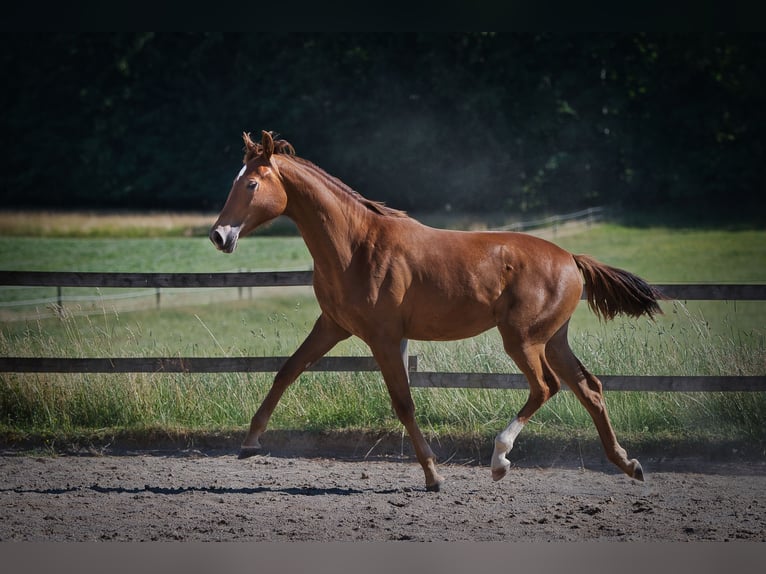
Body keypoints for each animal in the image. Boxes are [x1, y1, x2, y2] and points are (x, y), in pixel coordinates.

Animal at [210, 133, 664, 492]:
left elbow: (404, 403)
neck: (356, 246)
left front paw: (433, 475)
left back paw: (500, 460)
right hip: (553, 339)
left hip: (522, 339)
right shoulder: (333, 326)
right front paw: (250, 442)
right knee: (589, 388)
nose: (219, 235)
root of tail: (570, 258)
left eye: (251, 183)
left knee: (546, 387)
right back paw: (628, 464)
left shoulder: (384, 337)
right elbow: (287, 370)